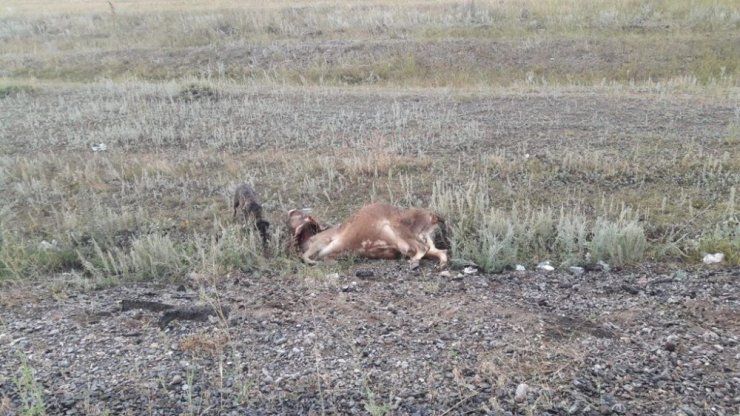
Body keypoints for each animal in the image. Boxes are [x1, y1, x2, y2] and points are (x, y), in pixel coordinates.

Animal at [286, 202, 448, 270]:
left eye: (300, 215)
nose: (291, 211)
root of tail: (433, 217)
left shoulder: (321, 241)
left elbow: (306, 256)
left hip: (399, 230)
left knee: (422, 248)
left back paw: (413, 262)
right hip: (418, 240)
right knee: (439, 251)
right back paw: (440, 265)